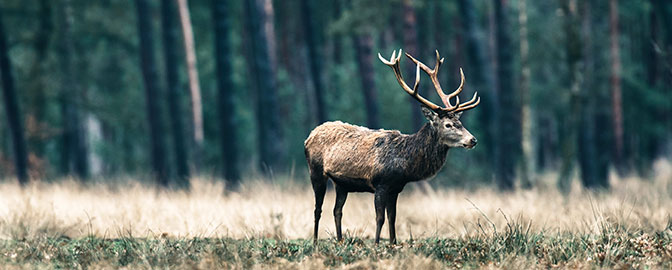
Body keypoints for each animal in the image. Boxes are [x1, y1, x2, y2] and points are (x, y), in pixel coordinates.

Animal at [304, 49, 484, 245]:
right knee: (317, 209)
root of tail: (309, 135)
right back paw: (315, 241)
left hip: (341, 183)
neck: (405, 165)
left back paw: (340, 240)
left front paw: (393, 243)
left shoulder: (395, 188)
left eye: (460, 122)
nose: (473, 140)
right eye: (448, 125)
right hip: (316, 172)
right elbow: (380, 218)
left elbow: (392, 218)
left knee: (337, 210)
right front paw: (377, 244)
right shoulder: (380, 184)